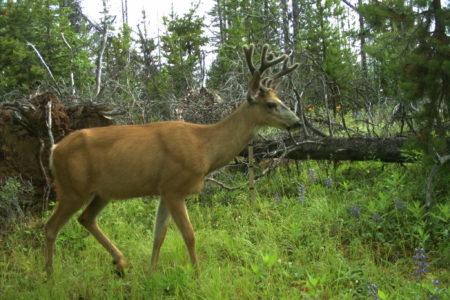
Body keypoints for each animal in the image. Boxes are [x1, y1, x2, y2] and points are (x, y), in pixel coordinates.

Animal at [45, 43, 300, 276]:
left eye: (280, 99)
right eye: (271, 104)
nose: (297, 122)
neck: (205, 149)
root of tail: (54, 150)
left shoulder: (163, 189)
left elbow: (159, 235)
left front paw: (151, 273)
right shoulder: (175, 187)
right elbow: (189, 235)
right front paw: (197, 276)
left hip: (102, 192)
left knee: (86, 219)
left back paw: (120, 261)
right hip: (72, 188)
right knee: (50, 226)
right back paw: (50, 277)